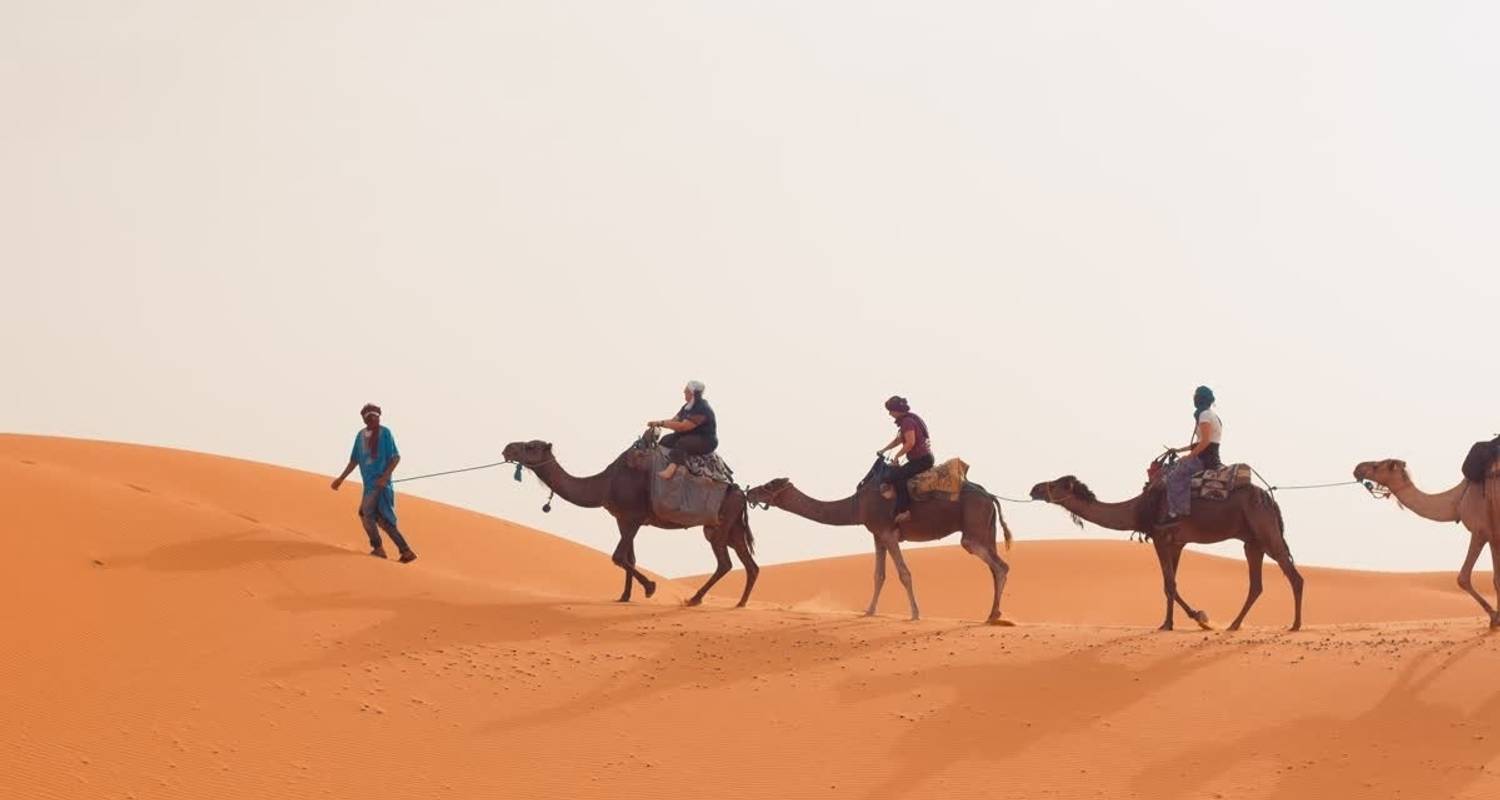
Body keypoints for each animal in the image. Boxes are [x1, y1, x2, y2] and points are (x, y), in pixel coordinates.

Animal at [504, 435, 762, 606]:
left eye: (530, 446)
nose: (507, 448)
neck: (605, 484)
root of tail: (741, 493)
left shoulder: (634, 517)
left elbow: (618, 556)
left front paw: (649, 588)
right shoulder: (622, 519)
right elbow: (630, 558)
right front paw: (624, 596)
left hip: (720, 524)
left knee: (725, 563)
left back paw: (695, 599)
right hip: (732, 527)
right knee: (750, 564)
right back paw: (740, 603)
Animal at [744, 462, 1014, 624]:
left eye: (769, 484)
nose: (749, 492)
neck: (856, 505)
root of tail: (990, 496)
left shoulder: (887, 532)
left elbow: (904, 573)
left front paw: (915, 614)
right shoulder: (877, 535)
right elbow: (878, 574)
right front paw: (869, 611)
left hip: (973, 531)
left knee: (1000, 566)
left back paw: (992, 615)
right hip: (985, 529)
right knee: (996, 567)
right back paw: (994, 615)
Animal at [1032, 474, 1302, 630]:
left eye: (1054, 484)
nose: (1034, 488)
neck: (1138, 509)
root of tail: (1270, 498)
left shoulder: (1161, 538)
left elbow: (1168, 584)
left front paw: (1192, 619)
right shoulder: (1176, 543)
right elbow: (1171, 583)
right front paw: (1179, 620)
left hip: (1265, 530)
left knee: (1293, 575)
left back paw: (1295, 625)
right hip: (1253, 542)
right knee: (1256, 585)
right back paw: (1234, 625)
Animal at [1350, 456, 1500, 624]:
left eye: (1376, 466)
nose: (1357, 468)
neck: (1458, 500)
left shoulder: (1480, 531)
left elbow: (1463, 578)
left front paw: (1494, 617)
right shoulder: (1493, 535)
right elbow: (1496, 579)